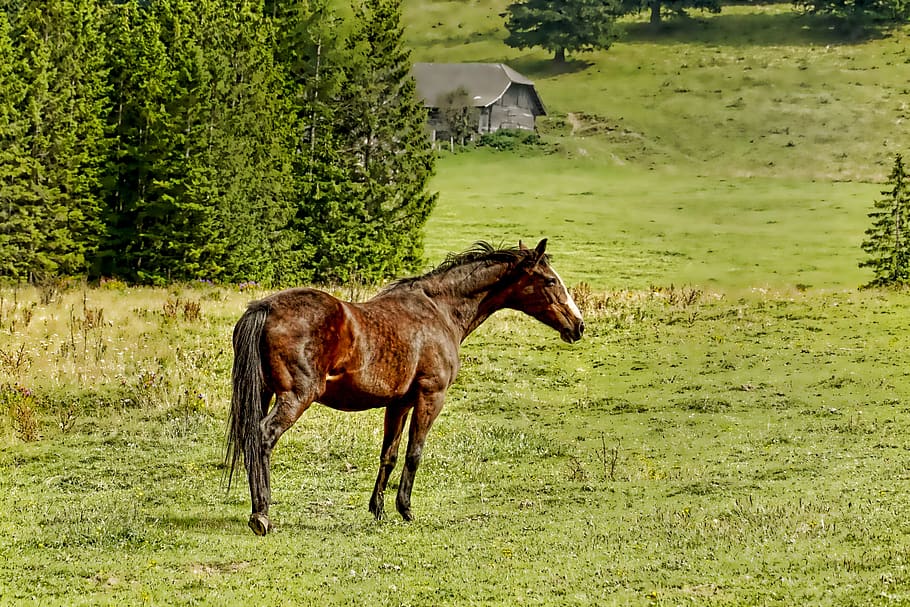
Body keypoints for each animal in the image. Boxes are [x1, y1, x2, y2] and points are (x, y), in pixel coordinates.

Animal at [225, 239, 584, 535]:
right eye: (550, 280)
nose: (578, 325)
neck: (440, 311)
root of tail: (264, 307)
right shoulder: (430, 396)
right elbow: (414, 453)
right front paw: (406, 509)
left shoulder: (398, 403)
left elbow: (390, 454)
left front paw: (378, 509)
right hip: (296, 397)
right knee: (263, 437)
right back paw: (261, 514)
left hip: (263, 393)